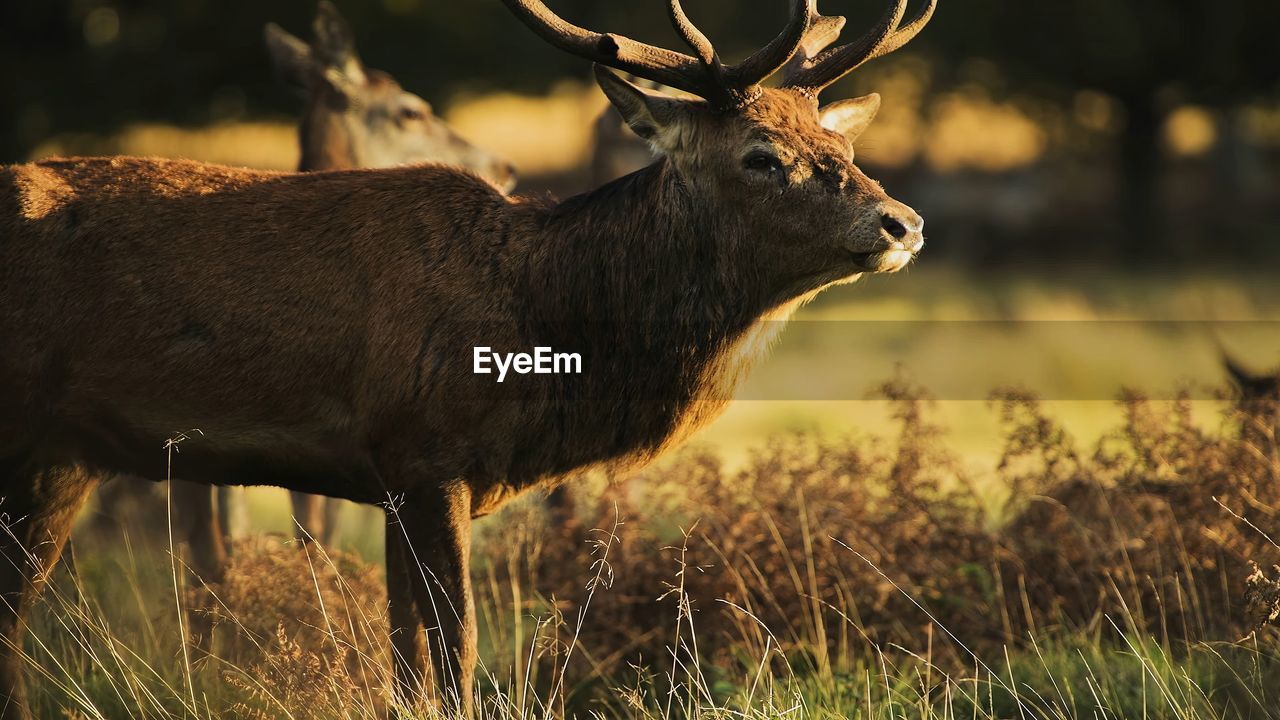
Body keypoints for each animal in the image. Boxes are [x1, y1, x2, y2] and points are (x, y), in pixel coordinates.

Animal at [0, 0, 936, 712]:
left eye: (844, 149)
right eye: (761, 155)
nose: (903, 223)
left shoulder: (385, 477)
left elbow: (404, 659)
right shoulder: (426, 451)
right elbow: (457, 654)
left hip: (62, 458)